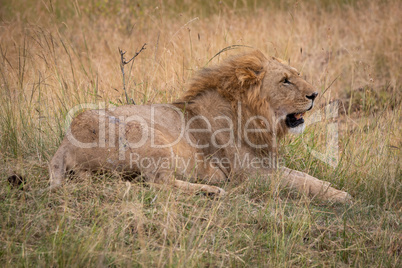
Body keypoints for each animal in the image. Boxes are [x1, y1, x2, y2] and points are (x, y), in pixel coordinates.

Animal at [49, 49, 352, 202]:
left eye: (297, 76)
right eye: (285, 81)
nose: (315, 95)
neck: (256, 116)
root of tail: (64, 144)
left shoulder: (265, 164)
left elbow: (304, 176)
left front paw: (331, 186)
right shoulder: (250, 175)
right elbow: (300, 183)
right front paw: (341, 195)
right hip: (149, 137)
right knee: (157, 184)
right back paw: (211, 189)